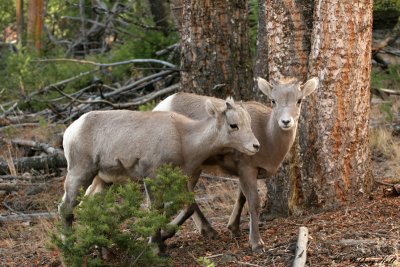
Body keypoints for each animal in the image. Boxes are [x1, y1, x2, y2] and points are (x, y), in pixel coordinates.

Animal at [58, 98, 260, 251]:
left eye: (249, 123)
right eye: (233, 125)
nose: (255, 146)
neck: (183, 138)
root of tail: (70, 131)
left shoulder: (180, 180)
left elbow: (188, 207)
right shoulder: (152, 177)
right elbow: (156, 209)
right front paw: (157, 248)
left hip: (103, 181)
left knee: (87, 206)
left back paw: (104, 250)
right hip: (80, 172)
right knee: (66, 208)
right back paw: (69, 248)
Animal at [153, 76, 318, 252]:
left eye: (299, 100)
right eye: (273, 100)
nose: (286, 122)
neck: (267, 136)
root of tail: (161, 107)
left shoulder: (244, 172)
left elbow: (241, 198)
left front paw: (234, 228)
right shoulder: (247, 169)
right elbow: (253, 203)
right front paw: (256, 243)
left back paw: (206, 232)